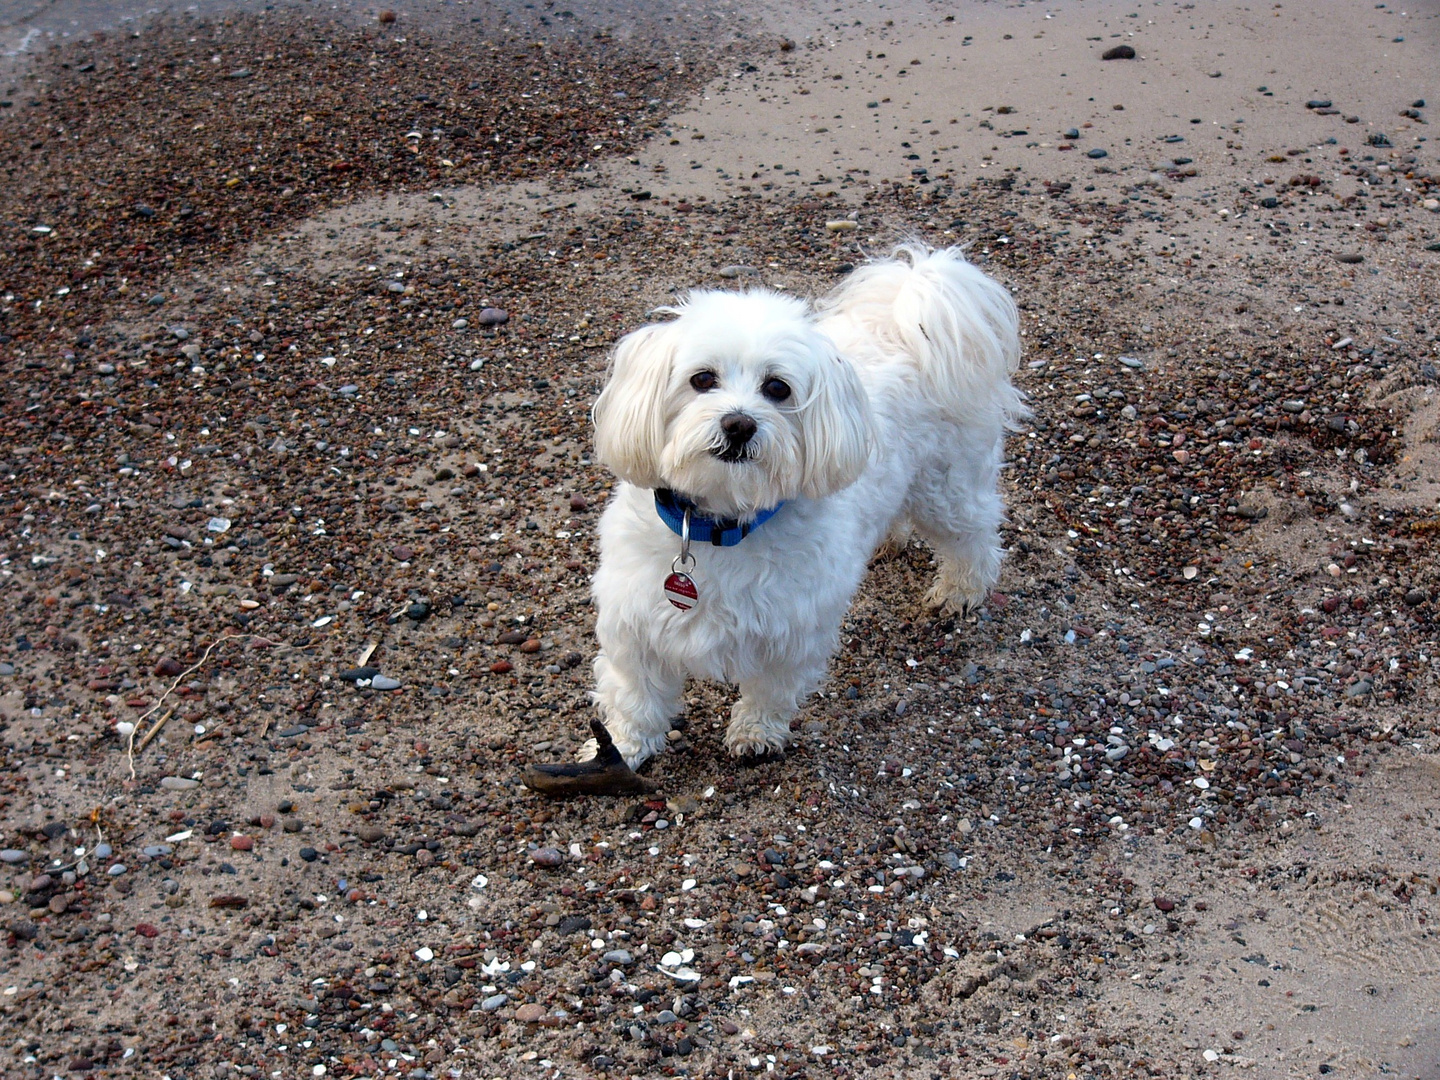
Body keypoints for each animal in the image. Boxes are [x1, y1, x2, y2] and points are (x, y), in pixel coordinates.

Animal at [584, 244, 1025, 771]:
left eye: (778, 388)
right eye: (702, 379)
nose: (738, 424)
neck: (721, 526)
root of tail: (908, 321)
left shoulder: (792, 632)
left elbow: (770, 690)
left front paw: (755, 734)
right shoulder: (635, 627)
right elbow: (636, 699)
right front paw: (619, 749)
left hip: (946, 488)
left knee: (975, 536)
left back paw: (960, 590)